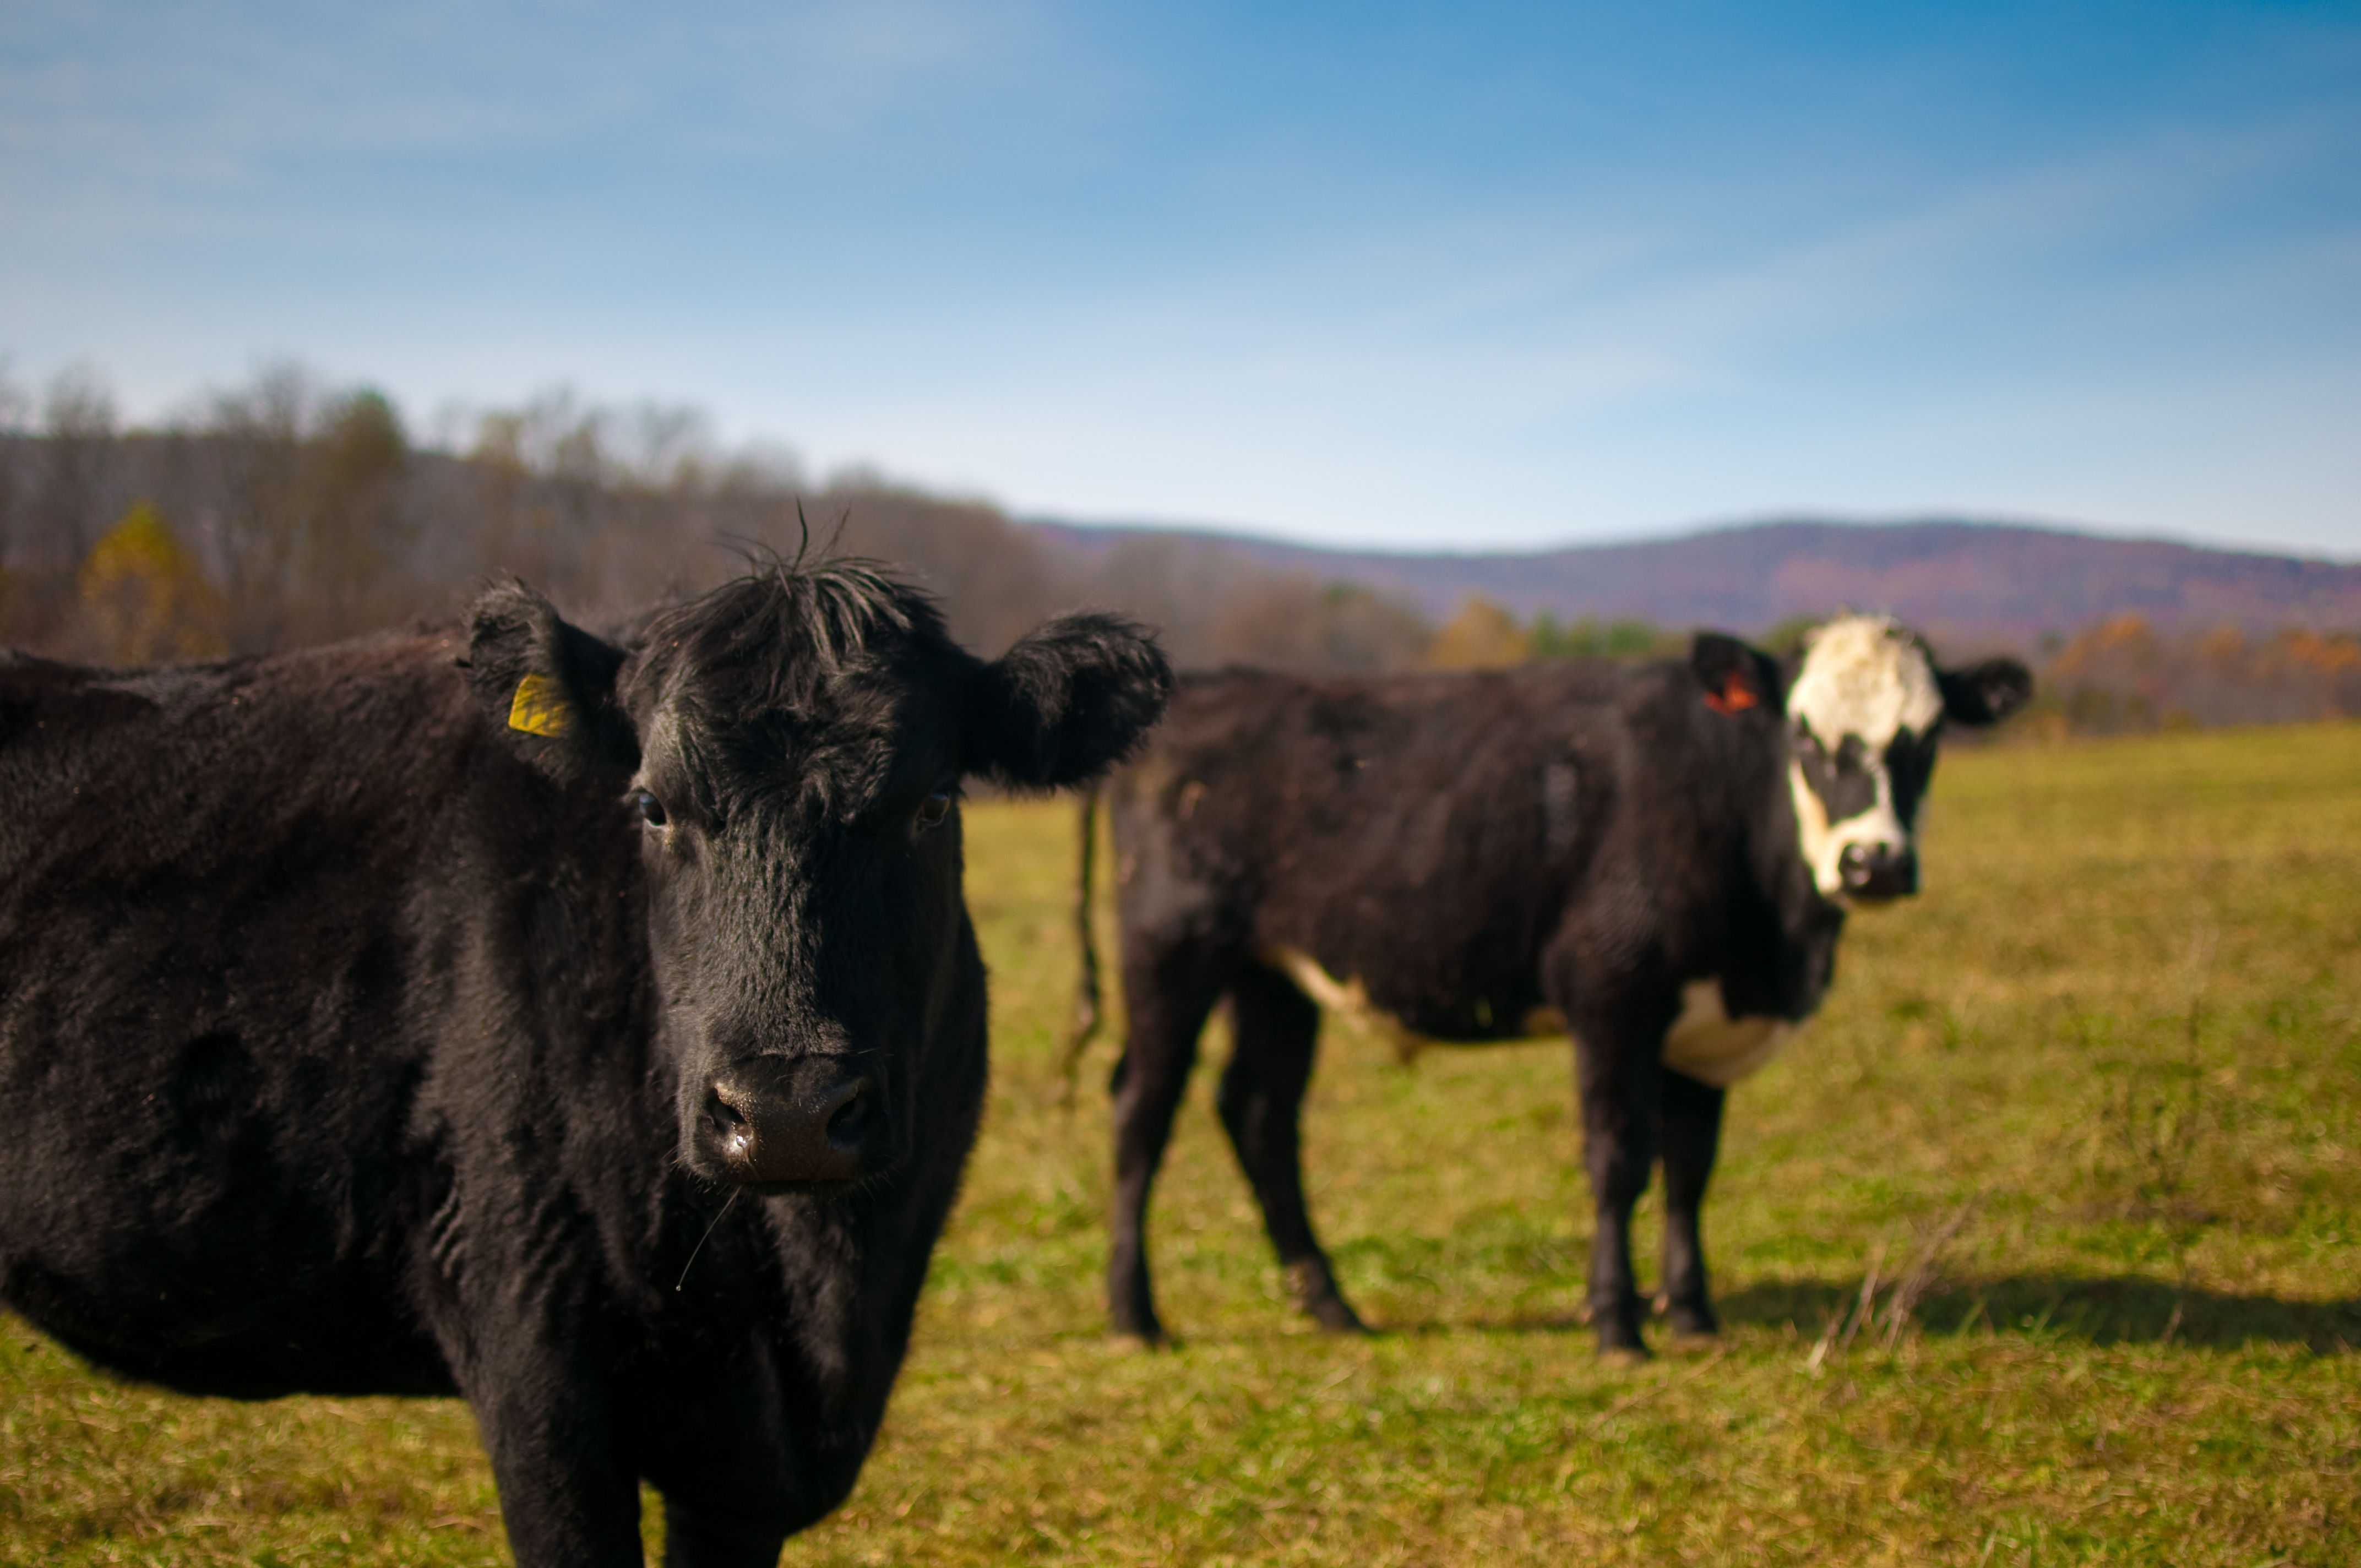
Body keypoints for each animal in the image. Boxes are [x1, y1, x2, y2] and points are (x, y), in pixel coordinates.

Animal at [0, 561, 1170, 1566]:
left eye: (931, 802)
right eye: (652, 805)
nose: (784, 1110)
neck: (808, 1287)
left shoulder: (756, 1463)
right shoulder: (538, 1364)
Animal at [1070, 614, 2028, 1357]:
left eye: (1928, 739)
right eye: (1803, 736)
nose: (1875, 863)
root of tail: (1200, 685)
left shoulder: (1702, 1027)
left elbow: (1691, 1169)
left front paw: (1694, 1316)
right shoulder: (1611, 992)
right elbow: (1619, 1159)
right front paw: (1617, 1326)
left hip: (1273, 975)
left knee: (1259, 1115)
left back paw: (1331, 1305)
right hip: (1172, 955)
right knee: (1140, 1113)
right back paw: (1134, 1315)